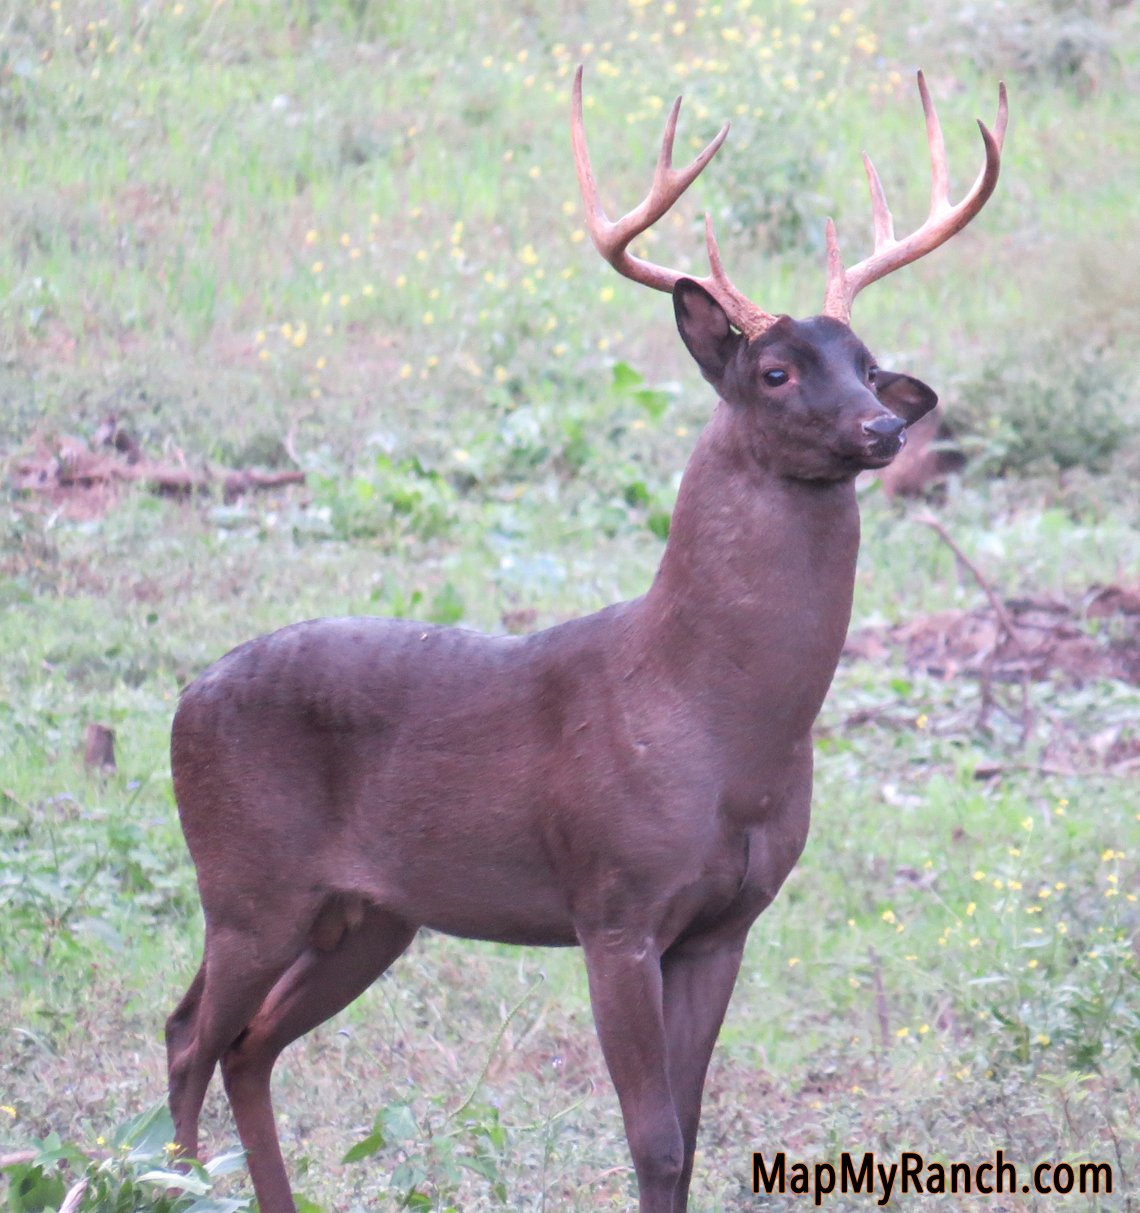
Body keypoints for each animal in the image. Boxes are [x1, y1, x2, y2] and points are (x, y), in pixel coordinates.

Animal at [167, 68, 1004, 1213]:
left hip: (368, 914)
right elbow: (651, 1138)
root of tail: (183, 696)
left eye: (871, 366)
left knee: (248, 1044)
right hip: (248, 882)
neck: (715, 719)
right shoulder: (614, 905)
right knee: (186, 1037)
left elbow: (688, 1134)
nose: (884, 429)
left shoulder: (724, 924)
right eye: (776, 372)